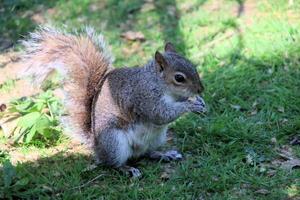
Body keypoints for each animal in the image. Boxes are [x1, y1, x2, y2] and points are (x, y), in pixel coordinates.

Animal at [19, 26, 205, 177]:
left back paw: (164, 154)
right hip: (115, 142)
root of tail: (96, 145)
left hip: (157, 138)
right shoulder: (144, 96)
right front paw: (190, 105)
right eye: (179, 78)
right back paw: (127, 169)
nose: (200, 89)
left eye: (193, 66)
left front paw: (200, 103)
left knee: (147, 153)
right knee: (113, 163)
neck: (158, 83)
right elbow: (160, 114)